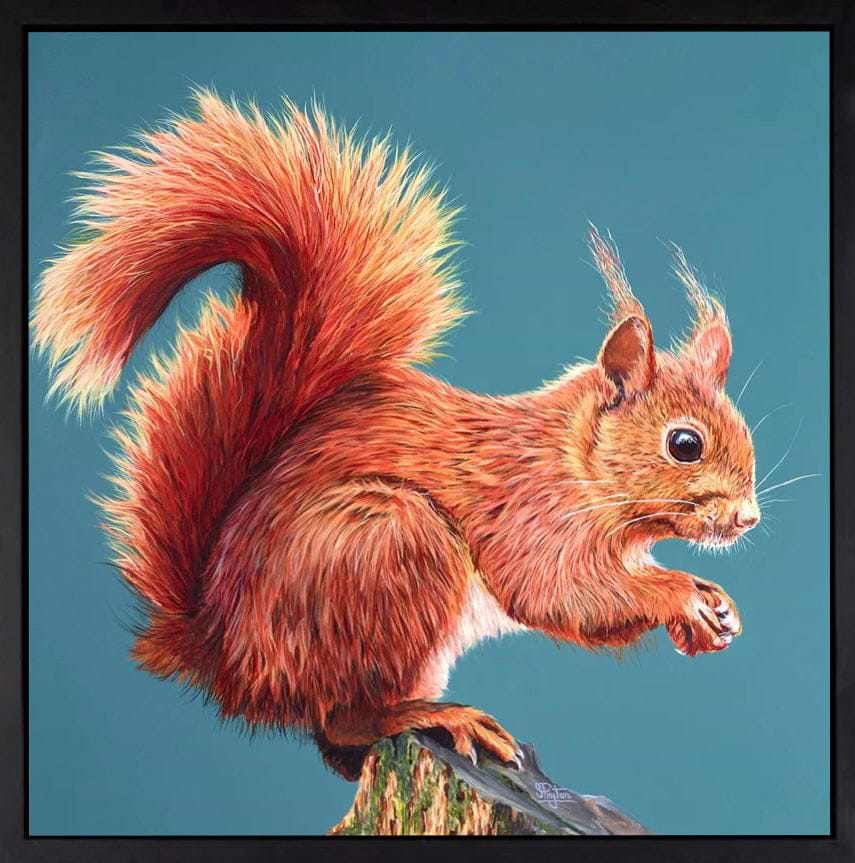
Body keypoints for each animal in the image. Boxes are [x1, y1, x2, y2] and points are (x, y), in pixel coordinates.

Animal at [32, 90, 760, 780]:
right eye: (684, 444)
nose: (747, 518)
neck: (572, 461)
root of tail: (224, 654)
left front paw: (714, 605)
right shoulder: (531, 516)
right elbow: (561, 593)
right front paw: (679, 593)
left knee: (332, 740)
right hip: (389, 544)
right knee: (344, 715)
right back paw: (440, 716)